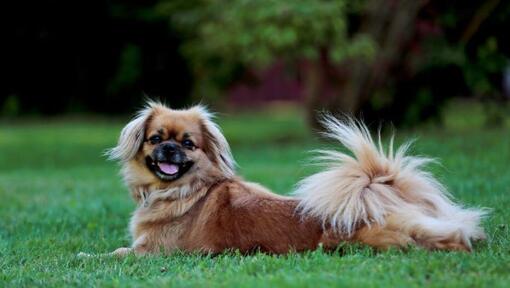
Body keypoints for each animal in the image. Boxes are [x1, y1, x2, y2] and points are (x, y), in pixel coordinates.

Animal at [92, 101, 486, 256]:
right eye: (155, 139)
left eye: (188, 144)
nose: (170, 149)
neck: (184, 189)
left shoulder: (151, 252)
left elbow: (109, 254)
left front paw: (86, 255)